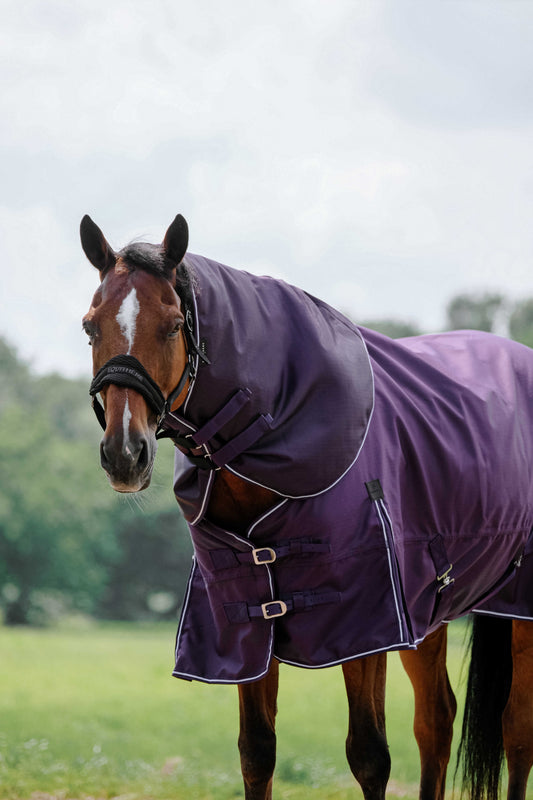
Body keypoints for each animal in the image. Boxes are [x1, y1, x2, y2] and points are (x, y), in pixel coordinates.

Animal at [80, 213, 533, 800]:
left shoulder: (365, 622)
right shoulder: (248, 616)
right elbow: (257, 753)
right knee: (436, 721)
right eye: (91, 326)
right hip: (429, 611)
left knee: (516, 728)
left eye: (175, 325)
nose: (124, 453)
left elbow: (369, 756)